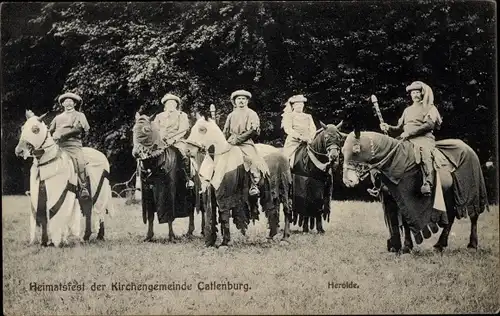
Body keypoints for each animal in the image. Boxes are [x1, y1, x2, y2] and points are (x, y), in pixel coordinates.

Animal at [15, 110, 114, 247]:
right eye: (23, 128)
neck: (48, 162)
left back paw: (100, 236)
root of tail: (102, 155)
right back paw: (86, 237)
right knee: (88, 211)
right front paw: (44, 242)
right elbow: (43, 218)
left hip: (101, 192)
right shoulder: (40, 195)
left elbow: (52, 215)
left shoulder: (57, 196)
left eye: (35, 129)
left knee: (100, 212)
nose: (19, 151)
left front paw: (55, 242)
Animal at [133, 113, 205, 242]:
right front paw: (149, 236)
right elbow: (150, 216)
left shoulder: (168, 192)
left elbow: (169, 215)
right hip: (190, 194)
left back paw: (204, 231)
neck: (156, 162)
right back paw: (189, 232)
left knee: (203, 210)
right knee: (191, 210)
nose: (136, 153)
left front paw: (171, 236)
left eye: (147, 130)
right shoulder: (148, 193)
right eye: (133, 129)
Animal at [342, 130, 490, 253]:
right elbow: (394, 222)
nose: (348, 181)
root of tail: (468, 148)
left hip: (471, 191)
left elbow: (406, 222)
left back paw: (472, 245)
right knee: (451, 216)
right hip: (448, 194)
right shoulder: (390, 198)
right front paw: (395, 247)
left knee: (473, 215)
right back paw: (440, 245)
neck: (394, 161)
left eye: (356, 150)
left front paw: (406, 247)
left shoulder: (406, 199)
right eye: (343, 150)